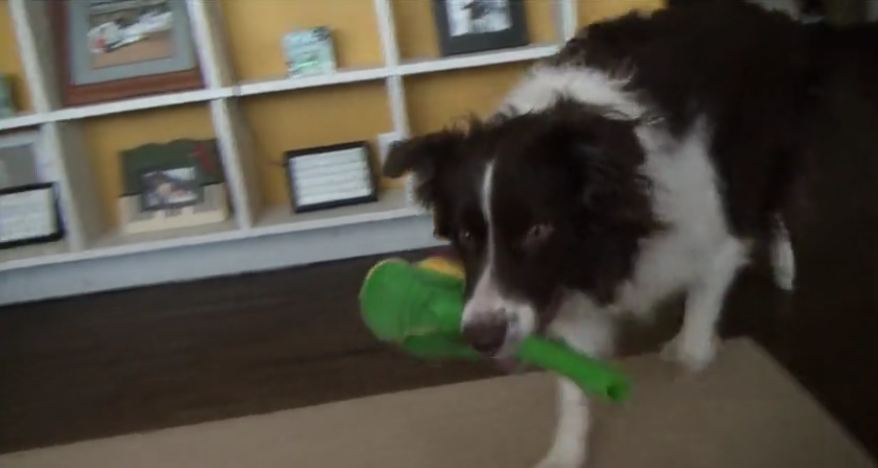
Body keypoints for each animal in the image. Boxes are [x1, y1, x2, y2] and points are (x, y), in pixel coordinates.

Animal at [384, 1, 878, 466]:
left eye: (539, 229)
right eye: (466, 236)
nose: (481, 339)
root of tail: (768, 13)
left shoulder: (711, 235)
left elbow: (699, 326)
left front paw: (693, 351)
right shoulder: (568, 286)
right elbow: (575, 382)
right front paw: (566, 452)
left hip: (759, 157)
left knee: (769, 208)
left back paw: (784, 268)